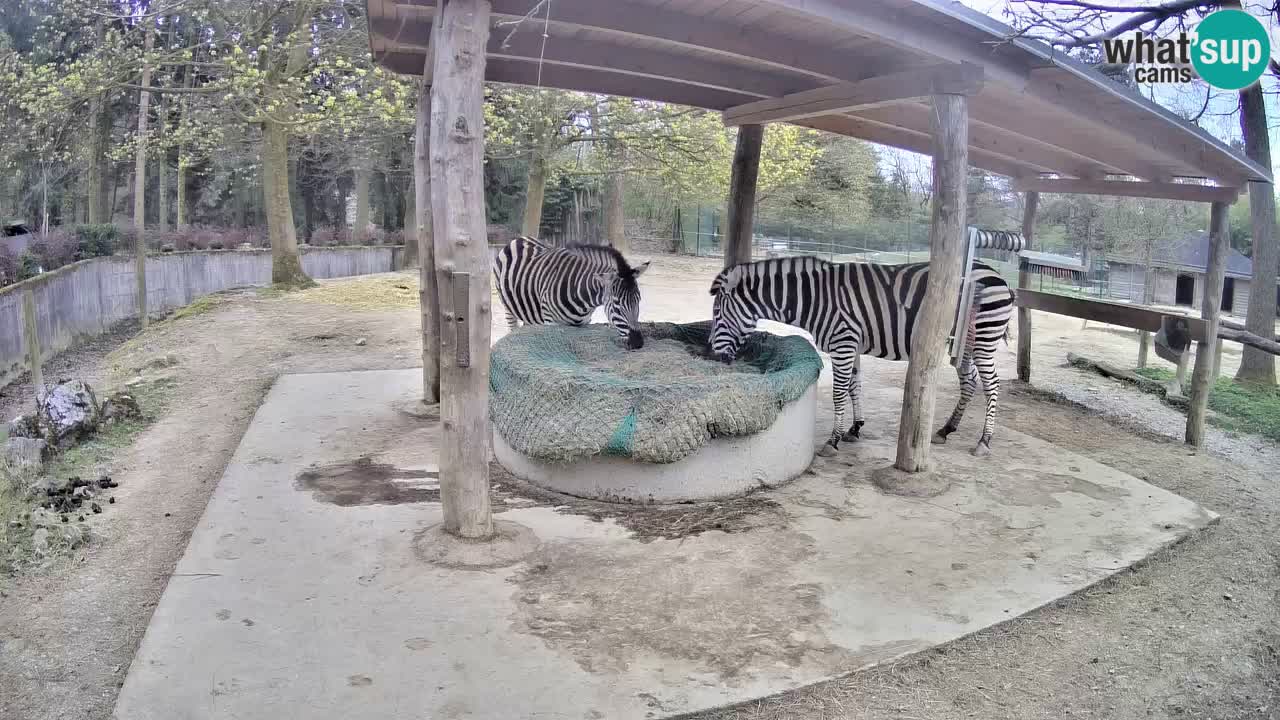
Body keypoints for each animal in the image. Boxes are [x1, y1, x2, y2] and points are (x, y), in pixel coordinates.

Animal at [492, 236, 651, 349]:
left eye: (638, 300)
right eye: (617, 303)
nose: (638, 343)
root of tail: (520, 238)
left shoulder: (584, 323)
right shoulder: (551, 323)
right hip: (508, 308)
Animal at [709, 256, 1015, 457]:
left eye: (717, 313)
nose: (711, 353)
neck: (816, 299)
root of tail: (999, 277)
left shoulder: (843, 342)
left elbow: (838, 392)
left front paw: (832, 441)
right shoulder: (851, 344)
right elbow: (854, 385)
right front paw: (855, 428)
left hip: (984, 338)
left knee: (992, 384)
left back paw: (984, 440)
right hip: (964, 344)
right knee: (970, 381)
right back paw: (946, 429)